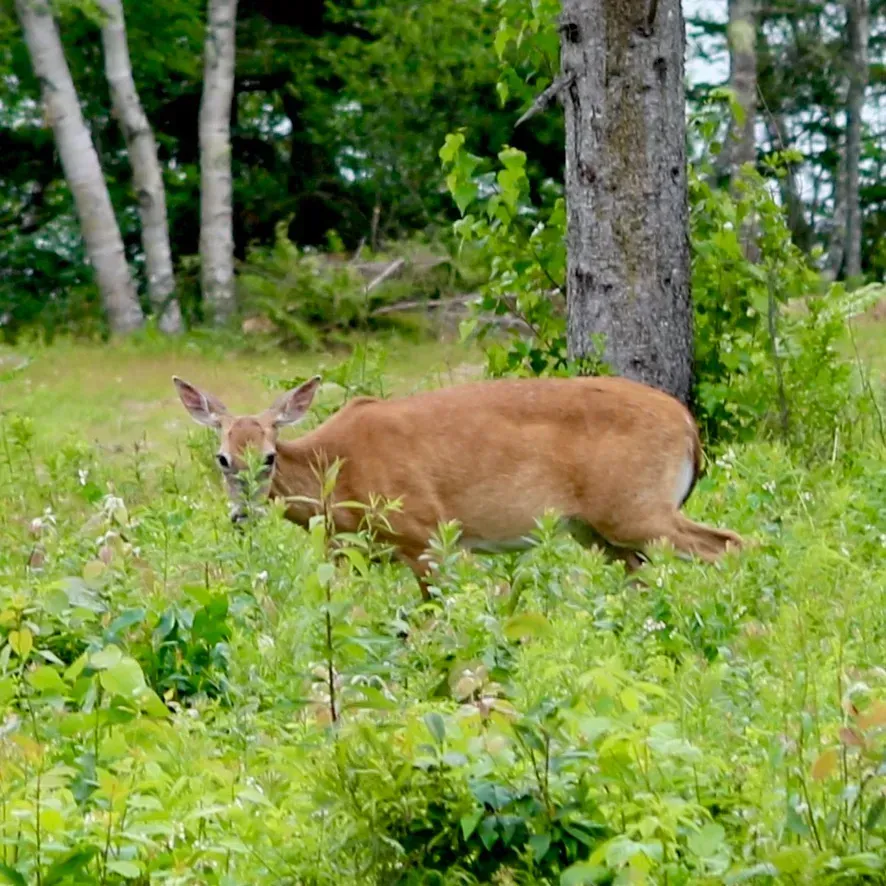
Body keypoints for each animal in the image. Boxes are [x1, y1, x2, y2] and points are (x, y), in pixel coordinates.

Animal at [172, 374, 743, 598]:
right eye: (222, 459)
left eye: (268, 458)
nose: (241, 516)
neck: (336, 474)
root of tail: (689, 427)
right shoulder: (347, 549)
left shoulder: (425, 532)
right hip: (601, 532)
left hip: (637, 508)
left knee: (732, 544)